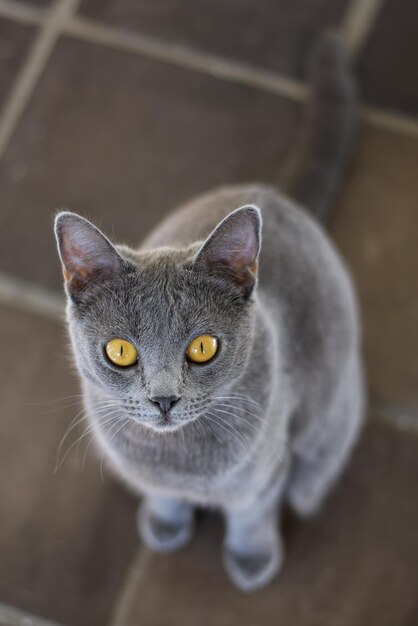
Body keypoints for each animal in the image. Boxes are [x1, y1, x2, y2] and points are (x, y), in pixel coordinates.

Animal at [54, 34, 362, 588]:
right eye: (119, 351)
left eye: (203, 347)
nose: (163, 400)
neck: (178, 461)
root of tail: (274, 193)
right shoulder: (147, 474)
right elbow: (162, 495)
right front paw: (164, 524)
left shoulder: (264, 470)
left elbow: (251, 514)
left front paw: (252, 560)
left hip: (331, 411)